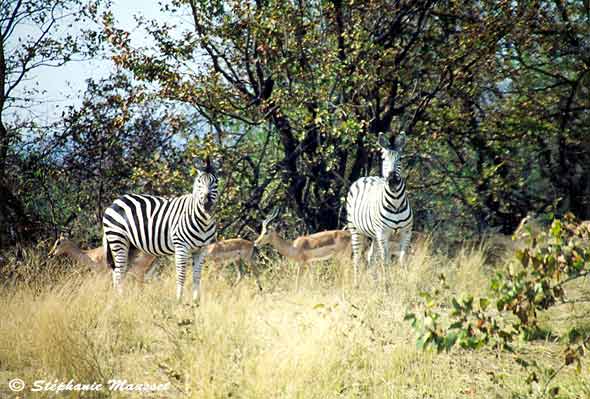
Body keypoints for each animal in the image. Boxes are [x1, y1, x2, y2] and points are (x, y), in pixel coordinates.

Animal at [103, 167, 220, 302]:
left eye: (215, 183)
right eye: (199, 182)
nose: (206, 203)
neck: (203, 221)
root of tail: (117, 201)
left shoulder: (202, 249)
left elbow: (197, 275)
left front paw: (196, 302)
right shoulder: (181, 246)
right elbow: (181, 274)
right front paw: (179, 300)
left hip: (131, 246)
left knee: (119, 271)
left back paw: (120, 298)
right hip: (118, 238)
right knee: (119, 271)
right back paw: (121, 299)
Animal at [344, 131, 414, 282]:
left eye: (400, 159)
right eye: (383, 158)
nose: (392, 180)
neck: (396, 202)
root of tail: (366, 177)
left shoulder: (406, 232)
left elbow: (402, 260)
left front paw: (404, 282)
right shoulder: (383, 234)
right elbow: (385, 261)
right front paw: (387, 285)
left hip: (374, 234)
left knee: (370, 256)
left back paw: (373, 281)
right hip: (356, 230)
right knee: (357, 258)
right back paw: (356, 283)